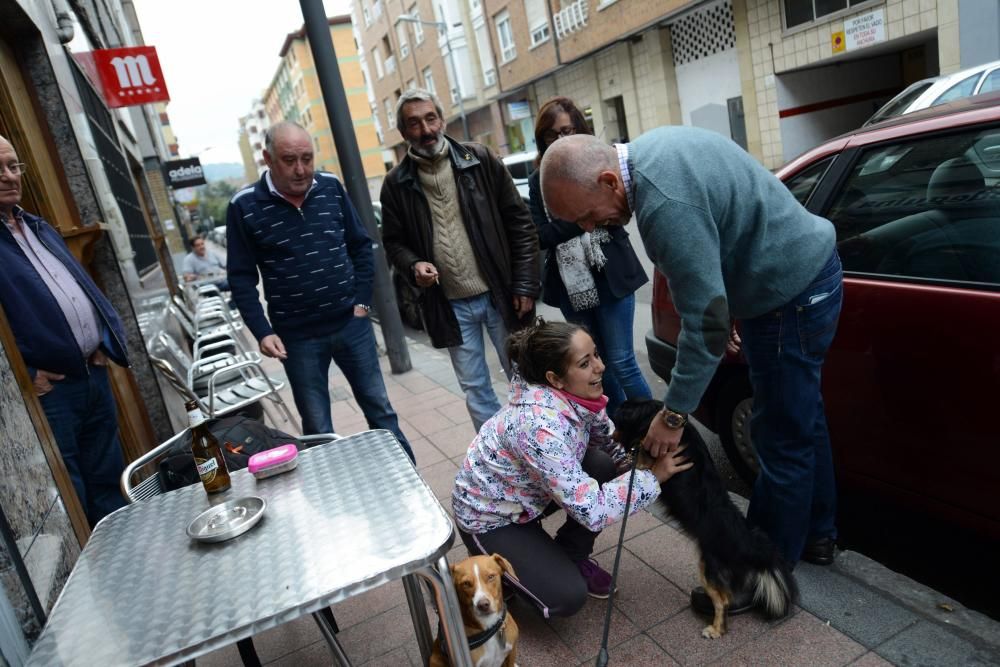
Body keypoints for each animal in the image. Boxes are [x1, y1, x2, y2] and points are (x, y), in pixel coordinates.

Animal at [608, 400, 796, 640]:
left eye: (617, 422)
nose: (610, 434)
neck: (648, 416)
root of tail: (750, 545)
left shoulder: (649, 457)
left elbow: (640, 460)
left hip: (709, 566)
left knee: (723, 601)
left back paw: (715, 630)